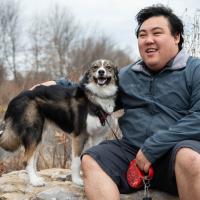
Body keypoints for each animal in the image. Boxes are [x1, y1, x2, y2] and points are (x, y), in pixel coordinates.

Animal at [0, 58, 118, 187]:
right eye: (95, 67)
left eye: (108, 67)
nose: (101, 72)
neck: (96, 97)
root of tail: (17, 97)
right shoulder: (79, 137)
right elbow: (76, 162)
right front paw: (77, 180)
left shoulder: (98, 137)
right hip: (34, 132)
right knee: (27, 160)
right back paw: (34, 181)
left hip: (40, 135)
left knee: (33, 158)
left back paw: (36, 178)